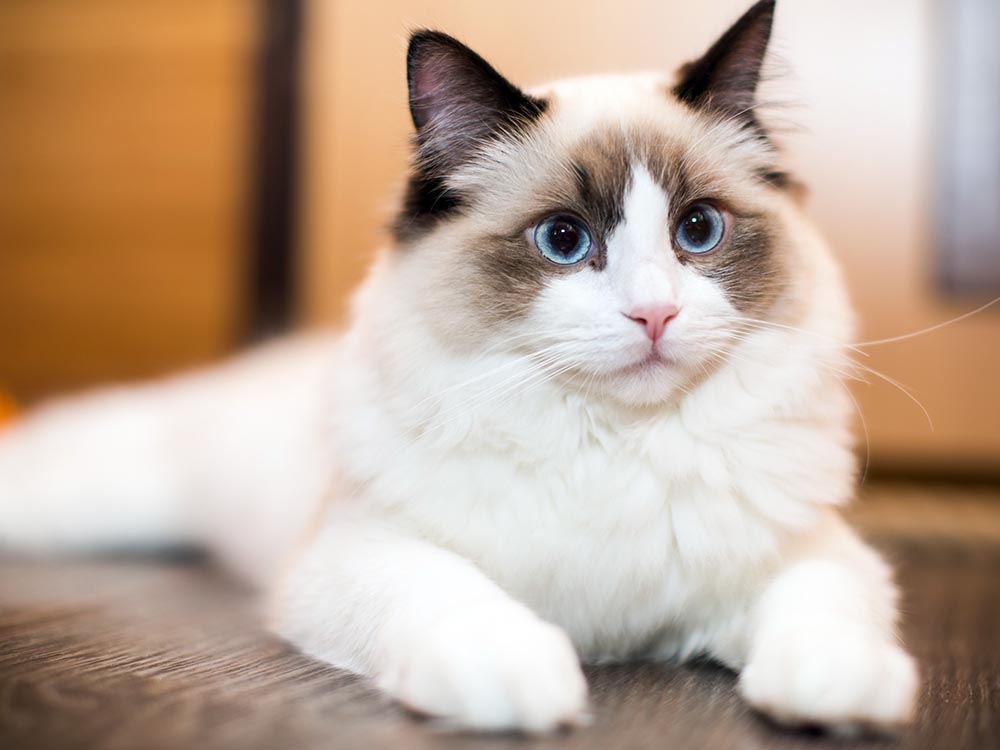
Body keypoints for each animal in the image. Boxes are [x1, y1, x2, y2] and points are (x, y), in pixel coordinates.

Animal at [0, 0, 916, 736]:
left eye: (698, 230)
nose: (654, 314)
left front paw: (834, 695)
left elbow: (823, 613)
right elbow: (455, 598)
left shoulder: (807, 555)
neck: (616, 444)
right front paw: (525, 686)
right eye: (563, 240)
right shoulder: (363, 551)